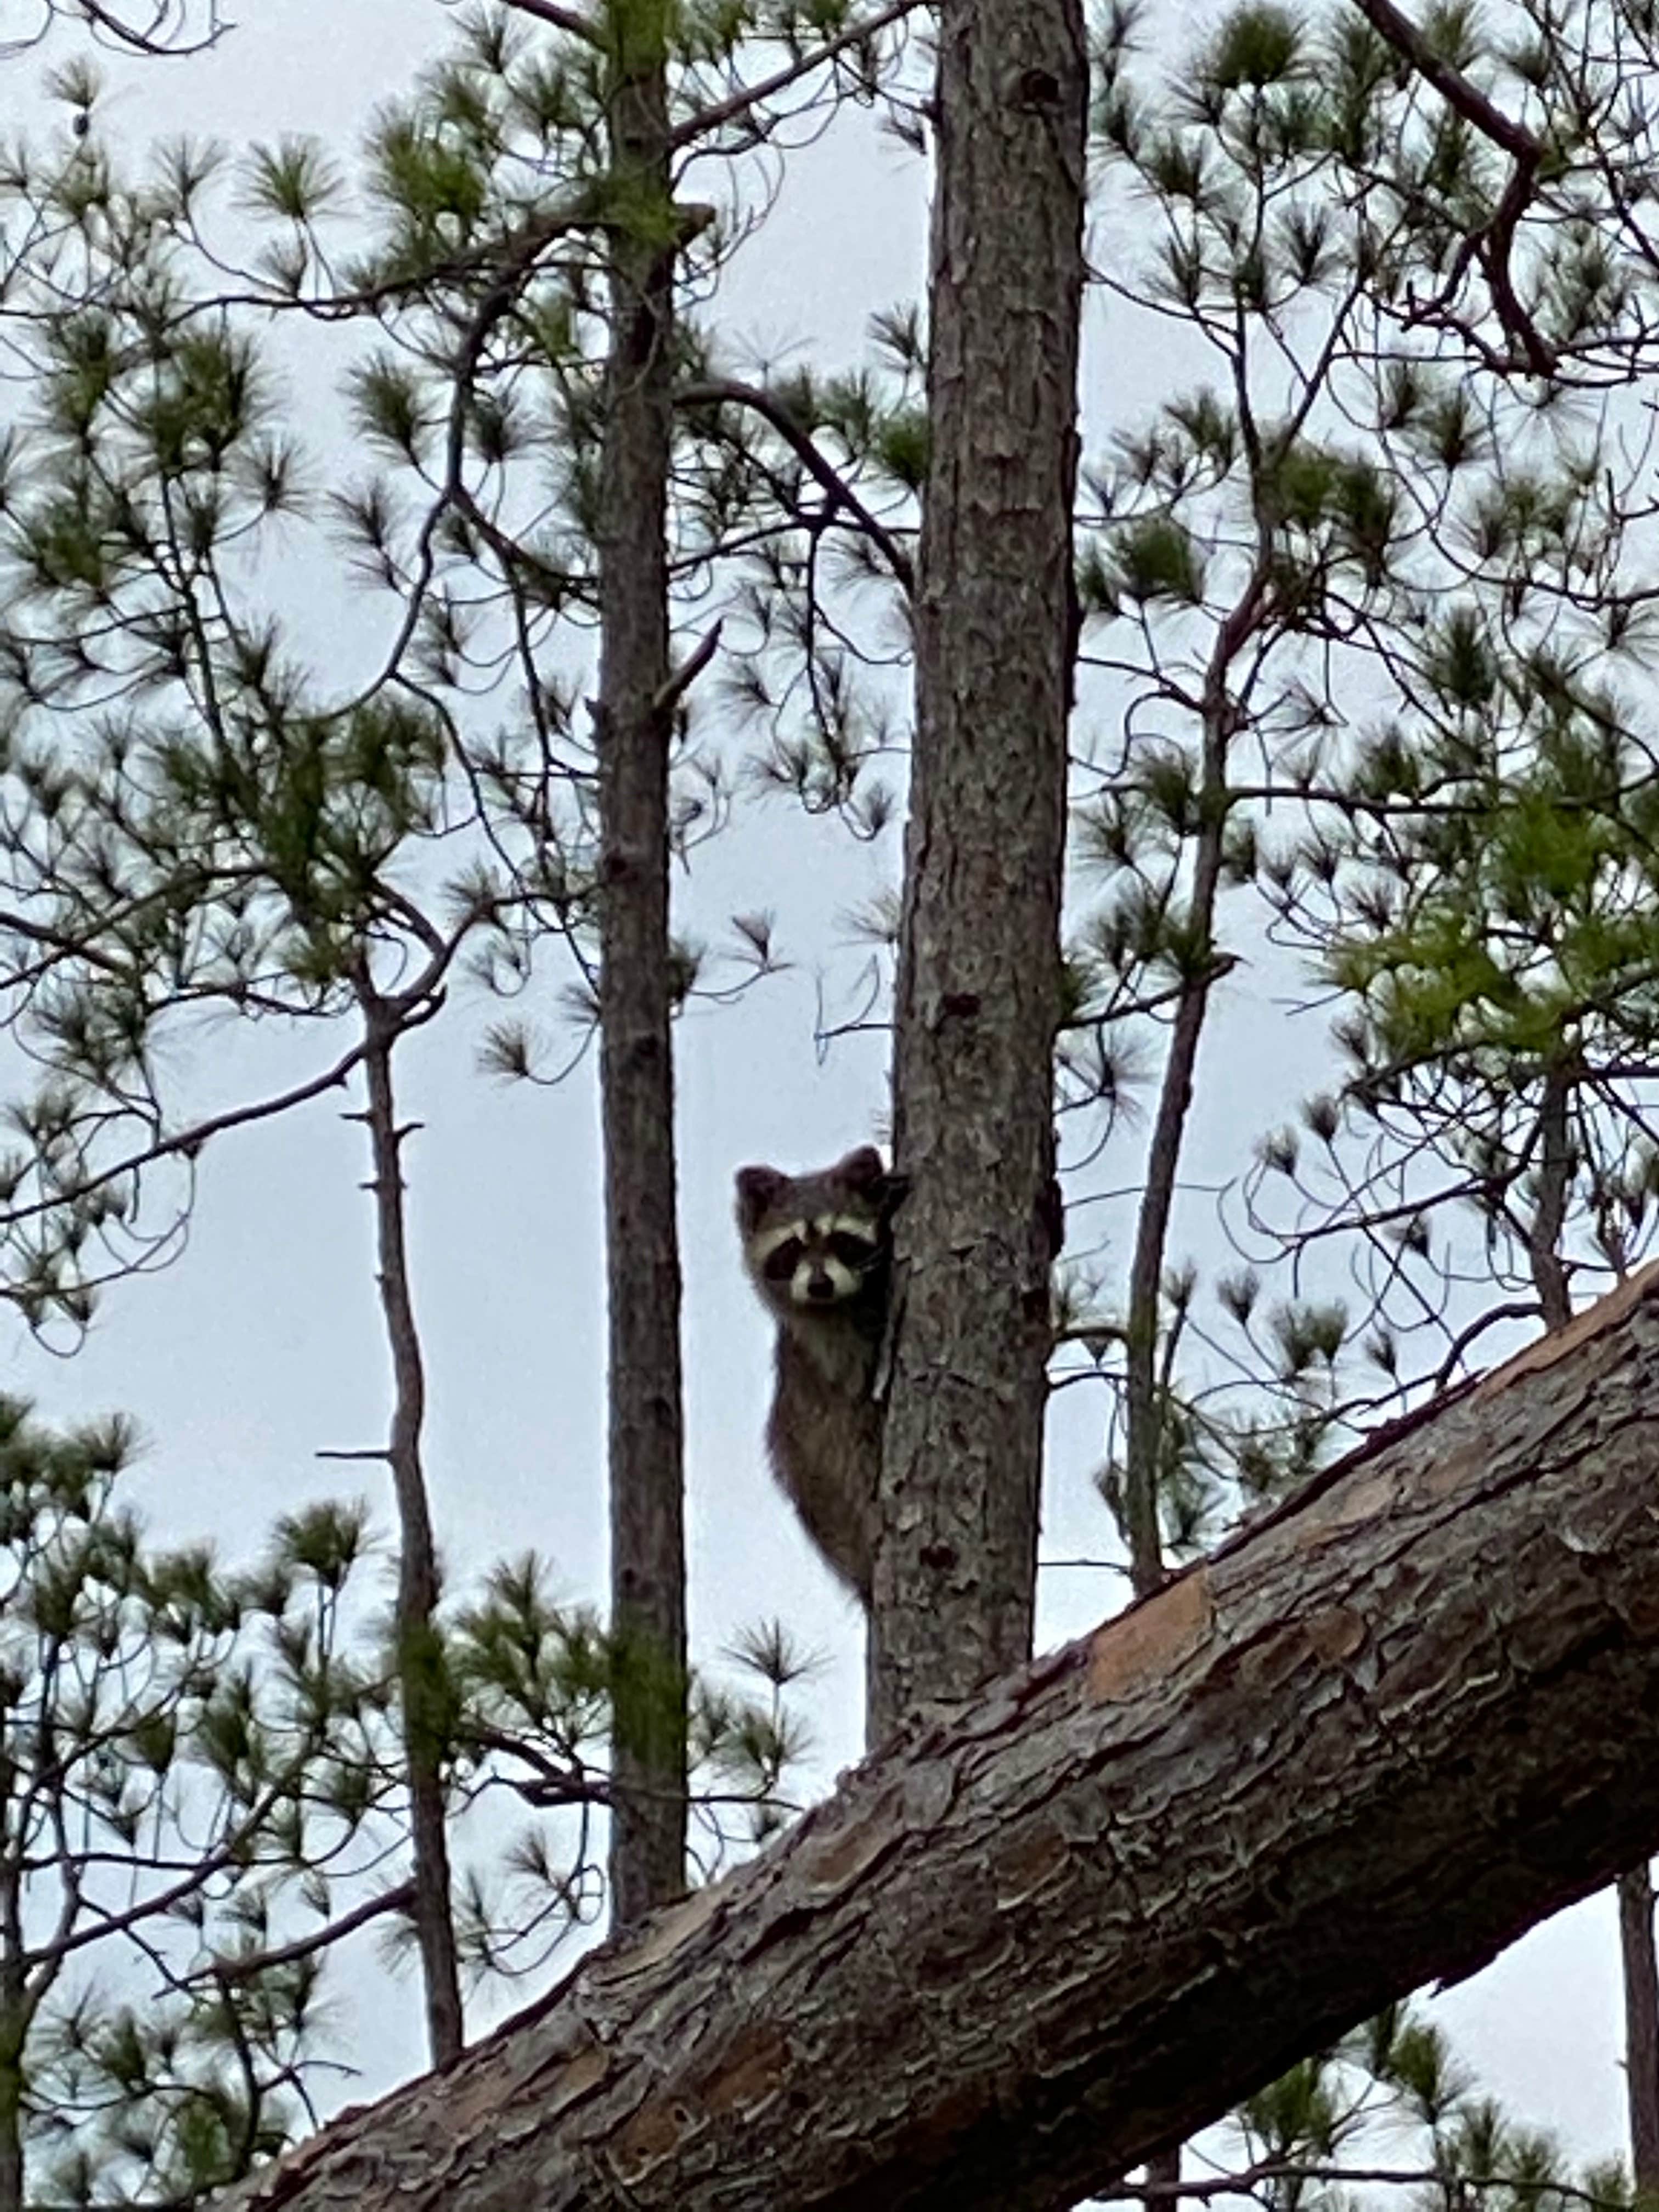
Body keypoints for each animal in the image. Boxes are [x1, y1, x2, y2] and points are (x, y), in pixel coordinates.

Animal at [734, 1150, 911, 1601]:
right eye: (793, 1247)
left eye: (840, 1240)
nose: (818, 1284)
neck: (839, 1304)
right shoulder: (825, 1344)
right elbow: (858, 1376)